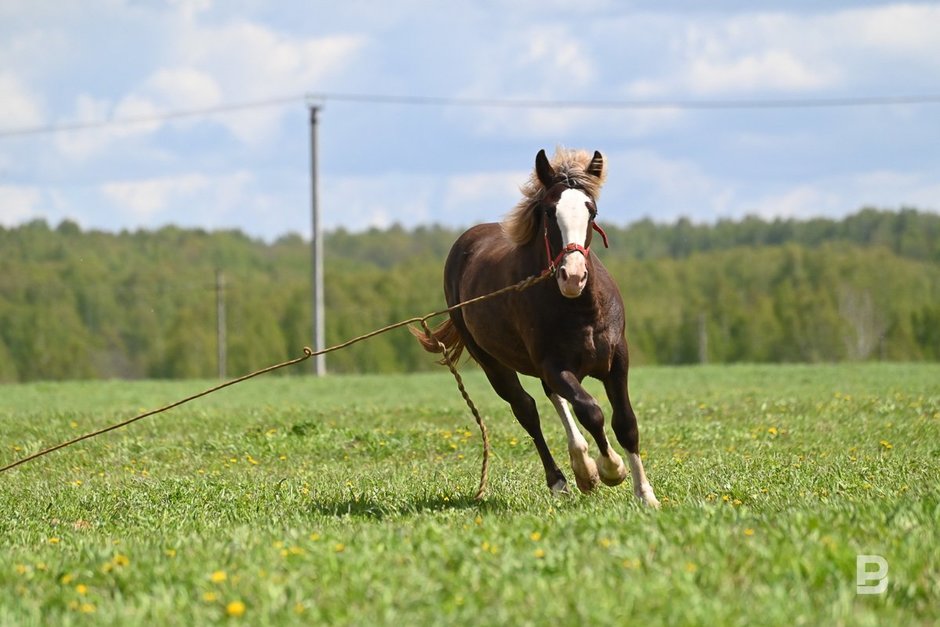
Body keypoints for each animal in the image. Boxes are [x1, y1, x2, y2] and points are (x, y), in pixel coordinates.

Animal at [418, 148, 660, 510]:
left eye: (592, 210)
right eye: (549, 211)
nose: (572, 276)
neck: (581, 311)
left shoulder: (617, 360)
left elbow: (626, 423)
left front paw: (645, 494)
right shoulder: (554, 366)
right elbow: (591, 411)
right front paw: (610, 470)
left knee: (553, 399)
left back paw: (582, 467)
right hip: (493, 363)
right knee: (527, 410)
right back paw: (563, 479)